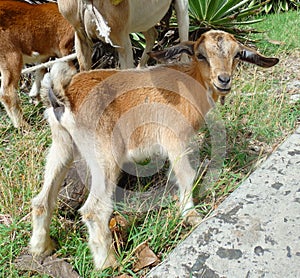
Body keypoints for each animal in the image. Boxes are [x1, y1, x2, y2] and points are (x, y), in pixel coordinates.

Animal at [29, 30, 278, 270]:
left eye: (236, 55)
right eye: (201, 55)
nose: (223, 80)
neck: (192, 81)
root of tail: (63, 96)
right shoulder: (174, 138)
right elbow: (187, 175)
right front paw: (191, 215)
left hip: (62, 145)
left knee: (42, 200)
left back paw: (41, 248)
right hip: (104, 154)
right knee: (93, 209)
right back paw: (107, 263)